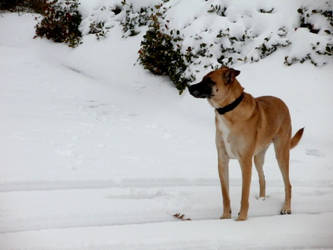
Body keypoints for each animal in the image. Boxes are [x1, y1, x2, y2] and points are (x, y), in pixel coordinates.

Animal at [188, 66, 302, 221]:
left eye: (209, 81)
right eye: (202, 79)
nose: (189, 87)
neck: (229, 109)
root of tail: (281, 101)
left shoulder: (245, 162)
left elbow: (244, 194)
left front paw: (241, 218)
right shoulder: (222, 161)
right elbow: (225, 194)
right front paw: (225, 216)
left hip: (281, 153)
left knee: (288, 184)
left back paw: (286, 208)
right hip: (258, 157)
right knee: (262, 179)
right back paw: (261, 200)